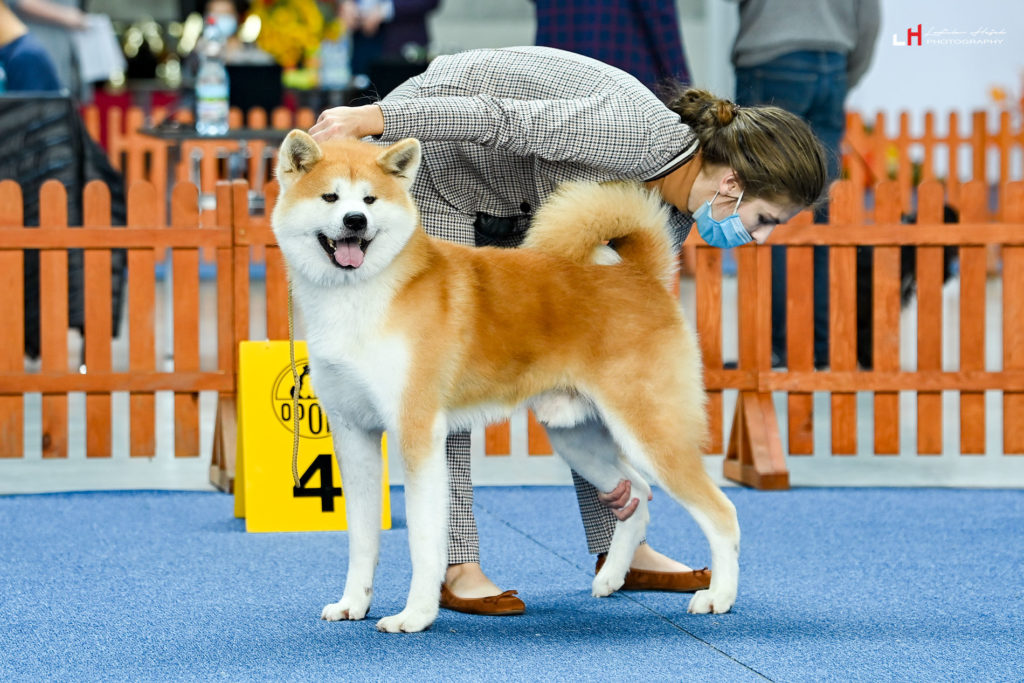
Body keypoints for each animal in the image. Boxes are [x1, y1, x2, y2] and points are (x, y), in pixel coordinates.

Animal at [270, 131, 737, 634]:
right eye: (330, 198)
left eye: (370, 200)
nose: (355, 220)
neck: (361, 297)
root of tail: (638, 275)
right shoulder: (353, 436)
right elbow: (362, 541)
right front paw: (353, 604)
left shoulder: (418, 435)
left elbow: (423, 543)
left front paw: (415, 616)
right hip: (578, 436)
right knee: (637, 493)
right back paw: (611, 578)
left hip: (652, 433)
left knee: (721, 514)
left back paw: (718, 597)